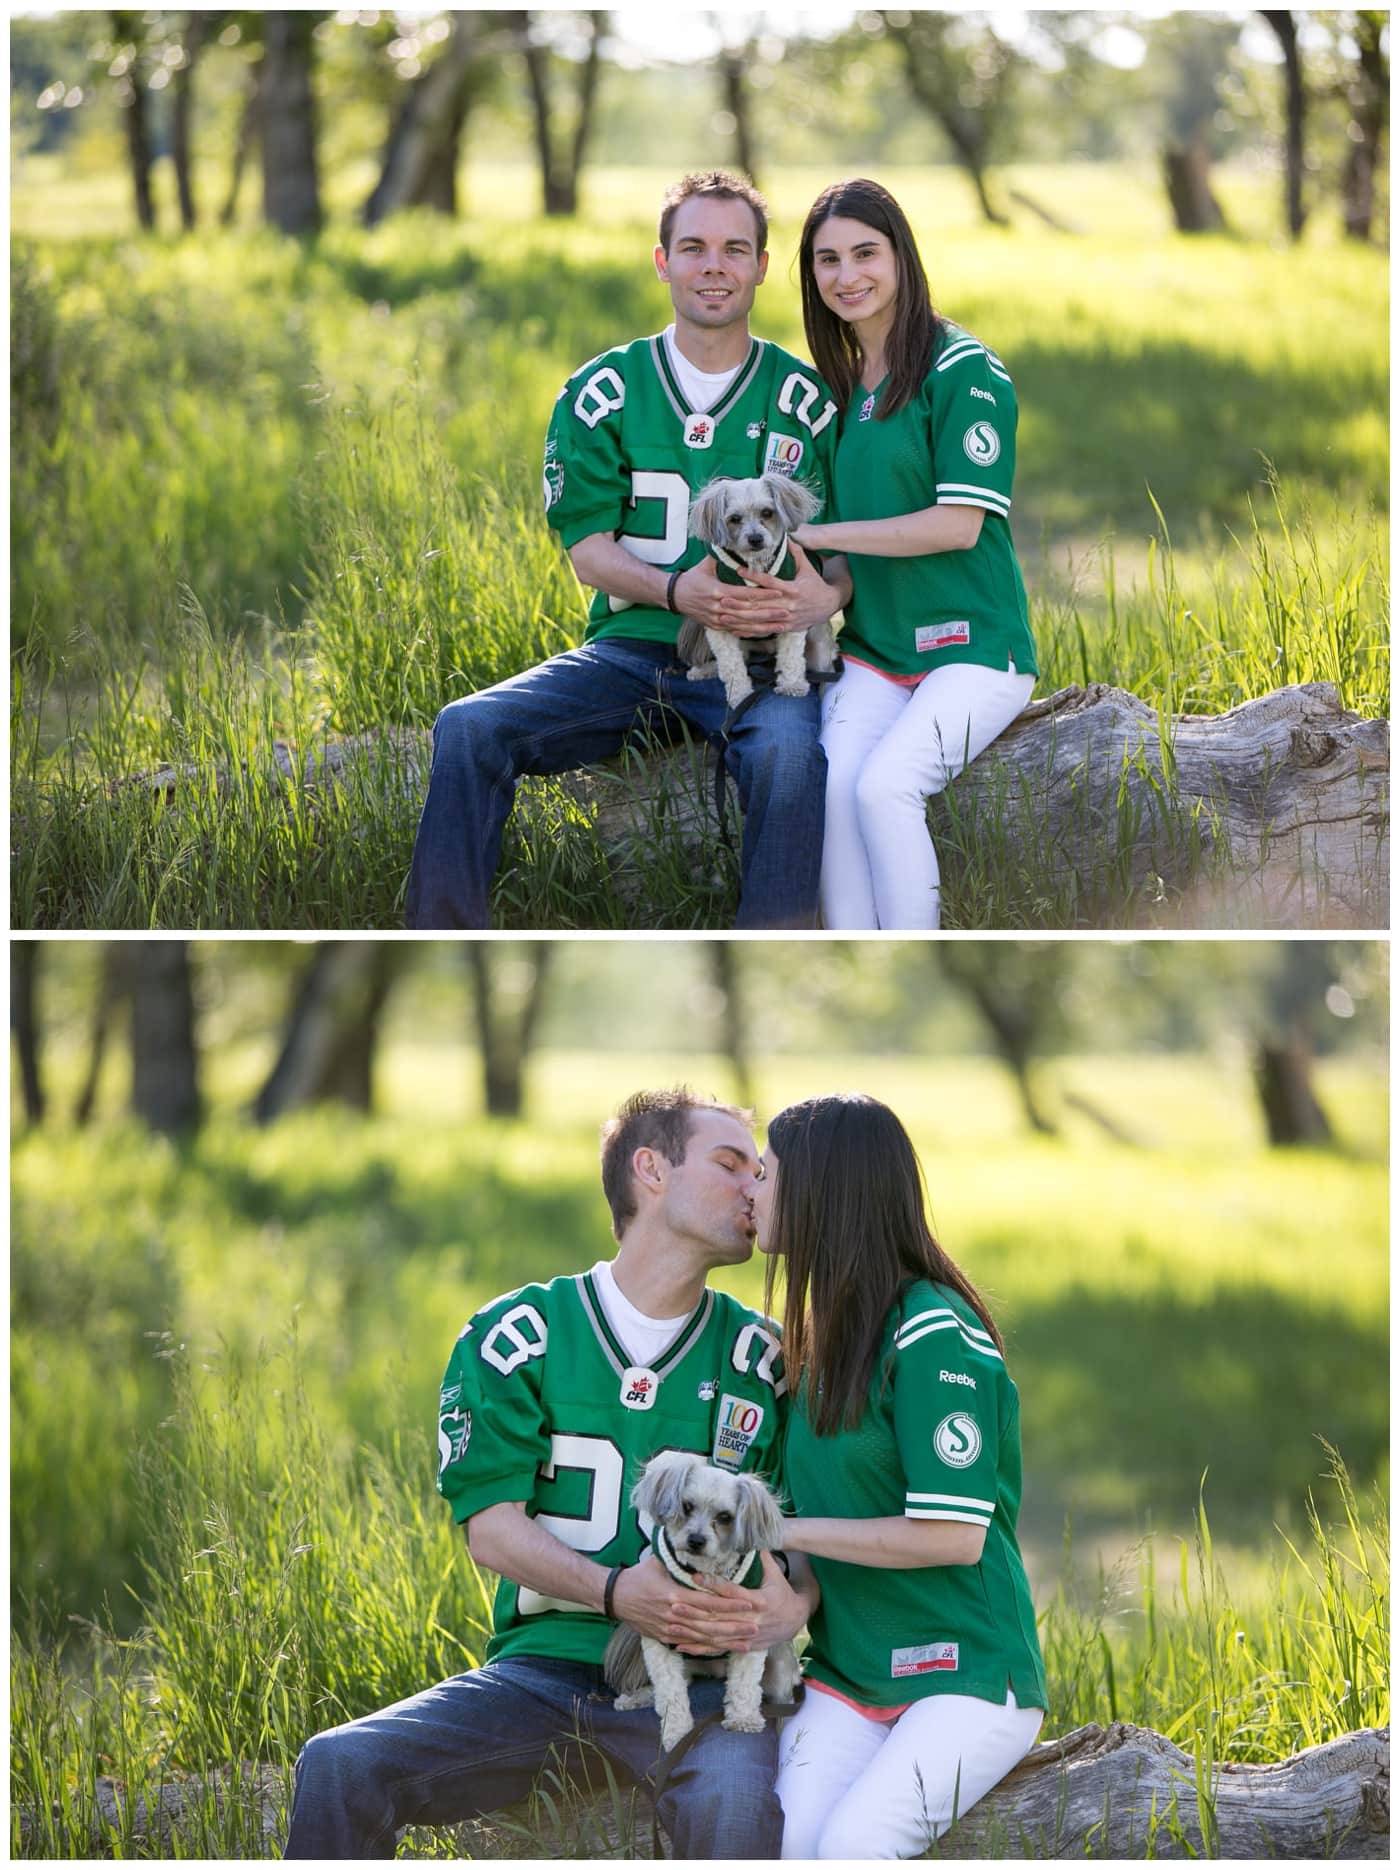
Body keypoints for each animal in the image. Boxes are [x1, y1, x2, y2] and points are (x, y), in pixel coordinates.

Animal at [601, 1443, 796, 1750]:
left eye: (725, 1517)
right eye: (687, 1506)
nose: (695, 1540)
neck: (705, 1574)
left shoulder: (752, 1633)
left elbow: (744, 1684)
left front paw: (743, 1720)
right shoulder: (660, 1639)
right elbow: (670, 1693)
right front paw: (677, 1734)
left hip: (779, 1669)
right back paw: (636, 1697)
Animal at [672, 474, 829, 706]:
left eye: (767, 512)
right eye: (735, 518)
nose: (755, 538)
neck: (755, 566)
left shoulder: (793, 616)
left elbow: (791, 657)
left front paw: (792, 686)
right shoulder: (720, 626)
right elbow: (731, 666)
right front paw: (740, 696)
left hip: (820, 646)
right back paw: (704, 669)